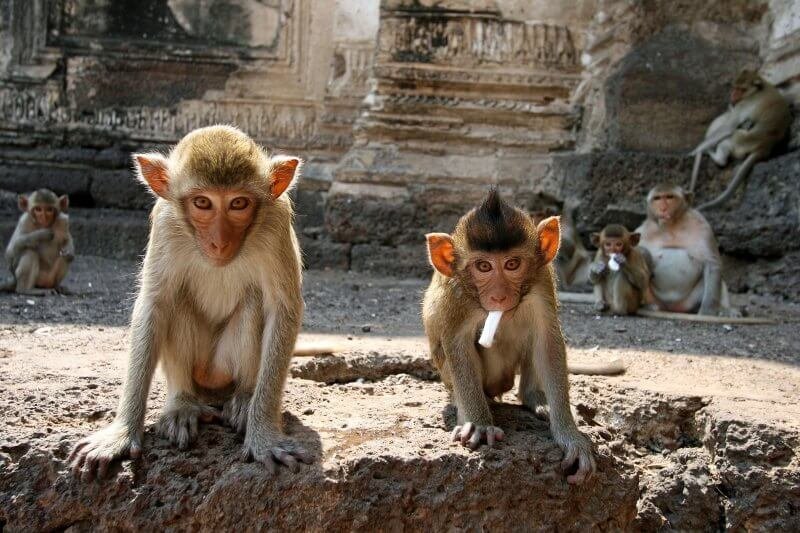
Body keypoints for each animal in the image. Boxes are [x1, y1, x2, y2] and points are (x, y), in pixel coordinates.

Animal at [70, 125, 313, 481]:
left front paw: (264, 433)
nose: (219, 242)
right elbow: (155, 304)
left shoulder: (275, 223)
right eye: (202, 202)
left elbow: (282, 309)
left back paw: (244, 397)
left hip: (223, 369)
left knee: (254, 304)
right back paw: (182, 404)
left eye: (238, 203)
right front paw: (122, 432)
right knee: (176, 301)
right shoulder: (166, 223)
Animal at [422, 189, 597, 485]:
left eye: (512, 264)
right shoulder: (457, 294)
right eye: (483, 266)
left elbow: (547, 341)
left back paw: (534, 398)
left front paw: (570, 435)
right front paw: (479, 424)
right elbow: (457, 343)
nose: (499, 295)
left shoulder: (541, 279)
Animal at [635, 184, 739, 317]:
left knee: (720, 281)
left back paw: (725, 310)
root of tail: (672, 309)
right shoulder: (642, 231)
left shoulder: (702, 226)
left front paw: (707, 311)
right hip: (653, 298)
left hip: (688, 301)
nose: (663, 208)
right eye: (657, 198)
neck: (671, 226)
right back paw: (647, 307)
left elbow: (712, 263)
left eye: (669, 197)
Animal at [689, 69, 791, 210]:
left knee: (726, 141)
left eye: (741, 89)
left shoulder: (744, 104)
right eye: (735, 87)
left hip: (741, 140)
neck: (758, 89)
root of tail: (765, 147)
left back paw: (714, 155)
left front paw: (695, 150)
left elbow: (728, 127)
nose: (733, 95)